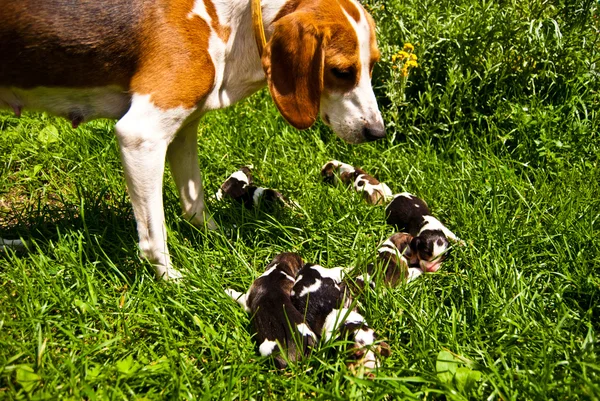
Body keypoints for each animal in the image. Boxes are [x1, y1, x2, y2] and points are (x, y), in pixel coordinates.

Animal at [0, 0, 384, 280]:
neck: (225, 20)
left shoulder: (184, 130)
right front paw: (171, 280)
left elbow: (193, 201)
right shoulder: (142, 136)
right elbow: (154, 234)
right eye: (342, 71)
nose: (377, 133)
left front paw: (215, 237)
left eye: (372, 66)